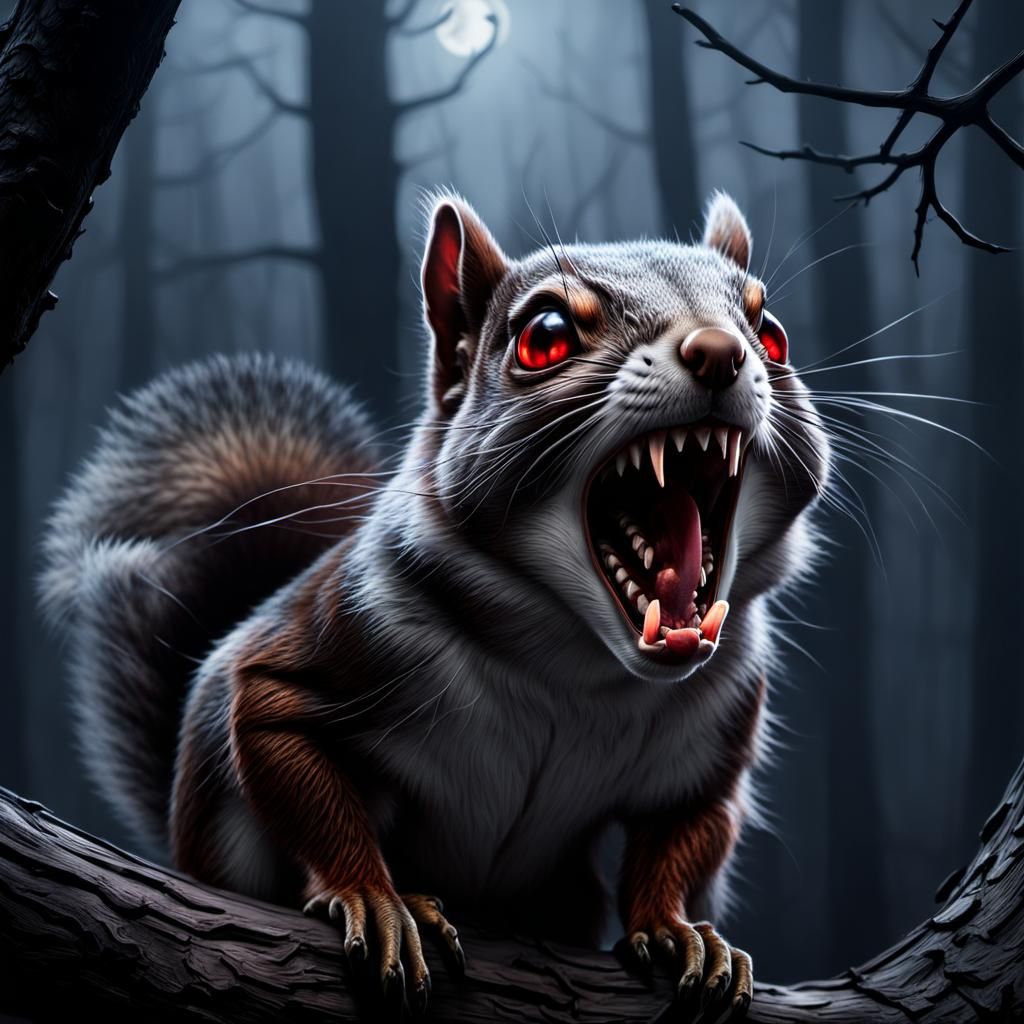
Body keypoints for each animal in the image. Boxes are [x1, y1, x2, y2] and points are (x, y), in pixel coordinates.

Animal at [40, 190, 828, 1015]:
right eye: (544, 337)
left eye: (771, 333)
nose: (720, 352)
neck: (577, 664)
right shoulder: (330, 645)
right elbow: (286, 749)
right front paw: (374, 897)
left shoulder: (713, 733)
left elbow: (686, 826)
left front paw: (678, 929)